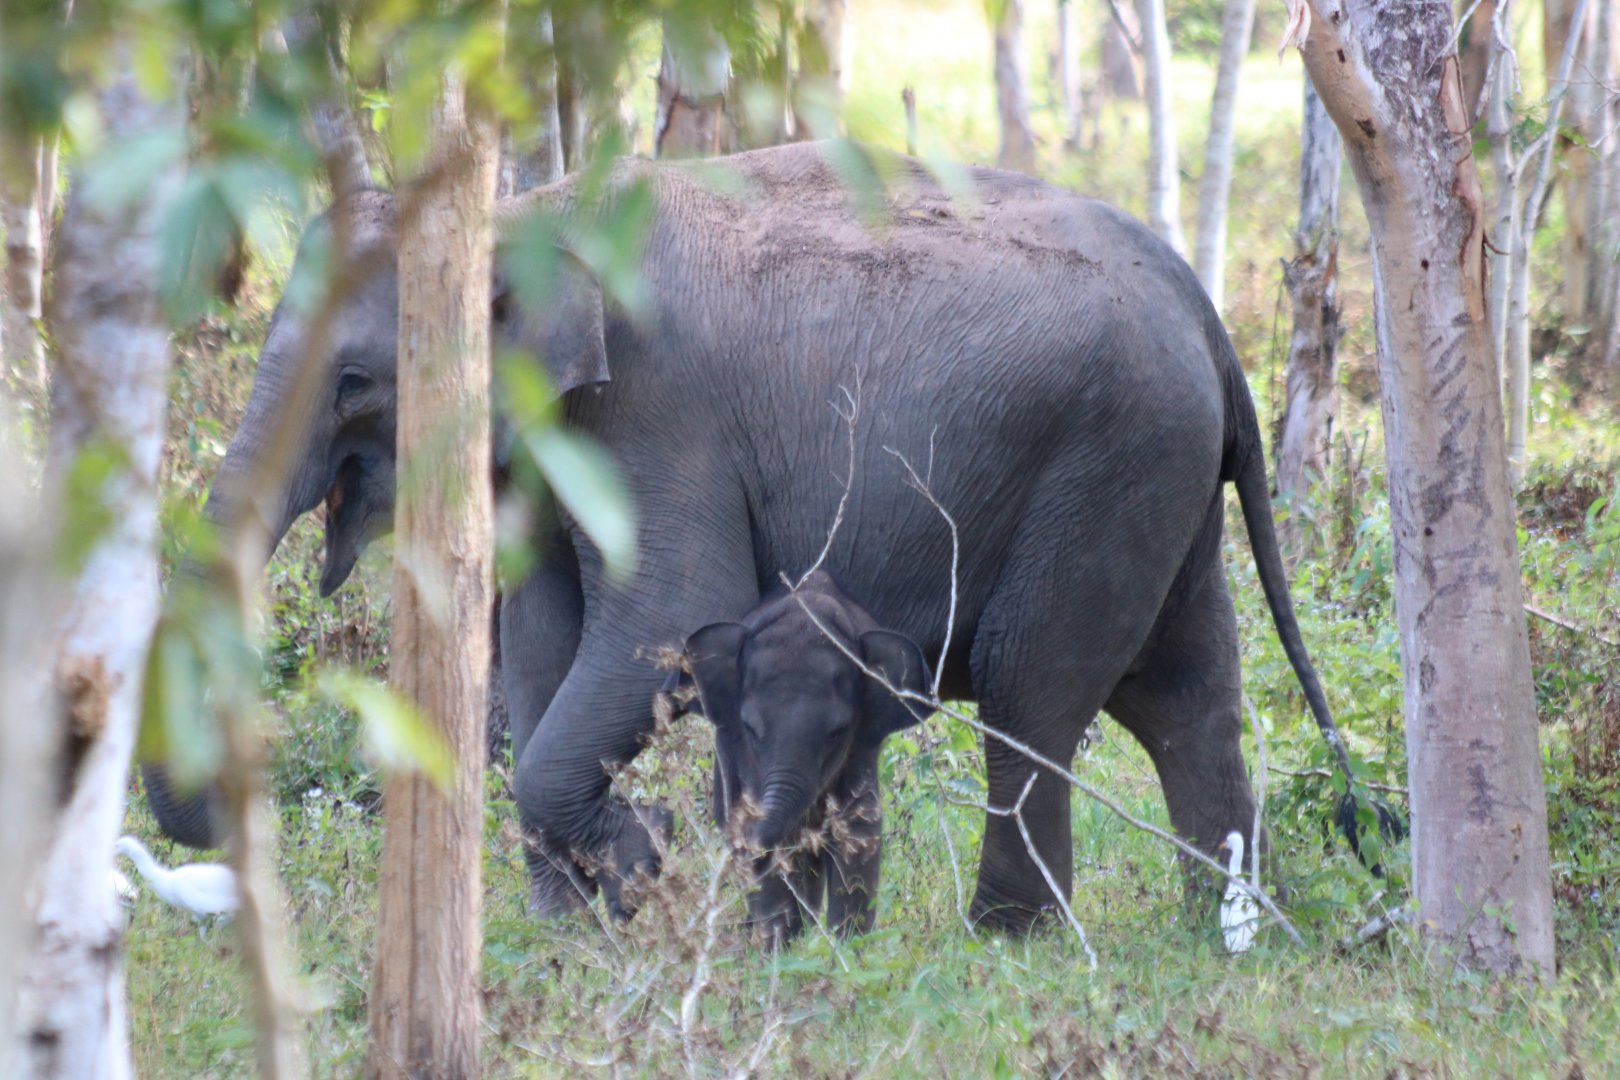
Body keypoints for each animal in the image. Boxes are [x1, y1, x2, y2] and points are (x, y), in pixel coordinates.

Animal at [678, 569, 931, 942]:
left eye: (837, 731)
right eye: (749, 728)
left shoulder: (860, 749)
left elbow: (858, 833)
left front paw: (846, 947)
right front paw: (780, 947)